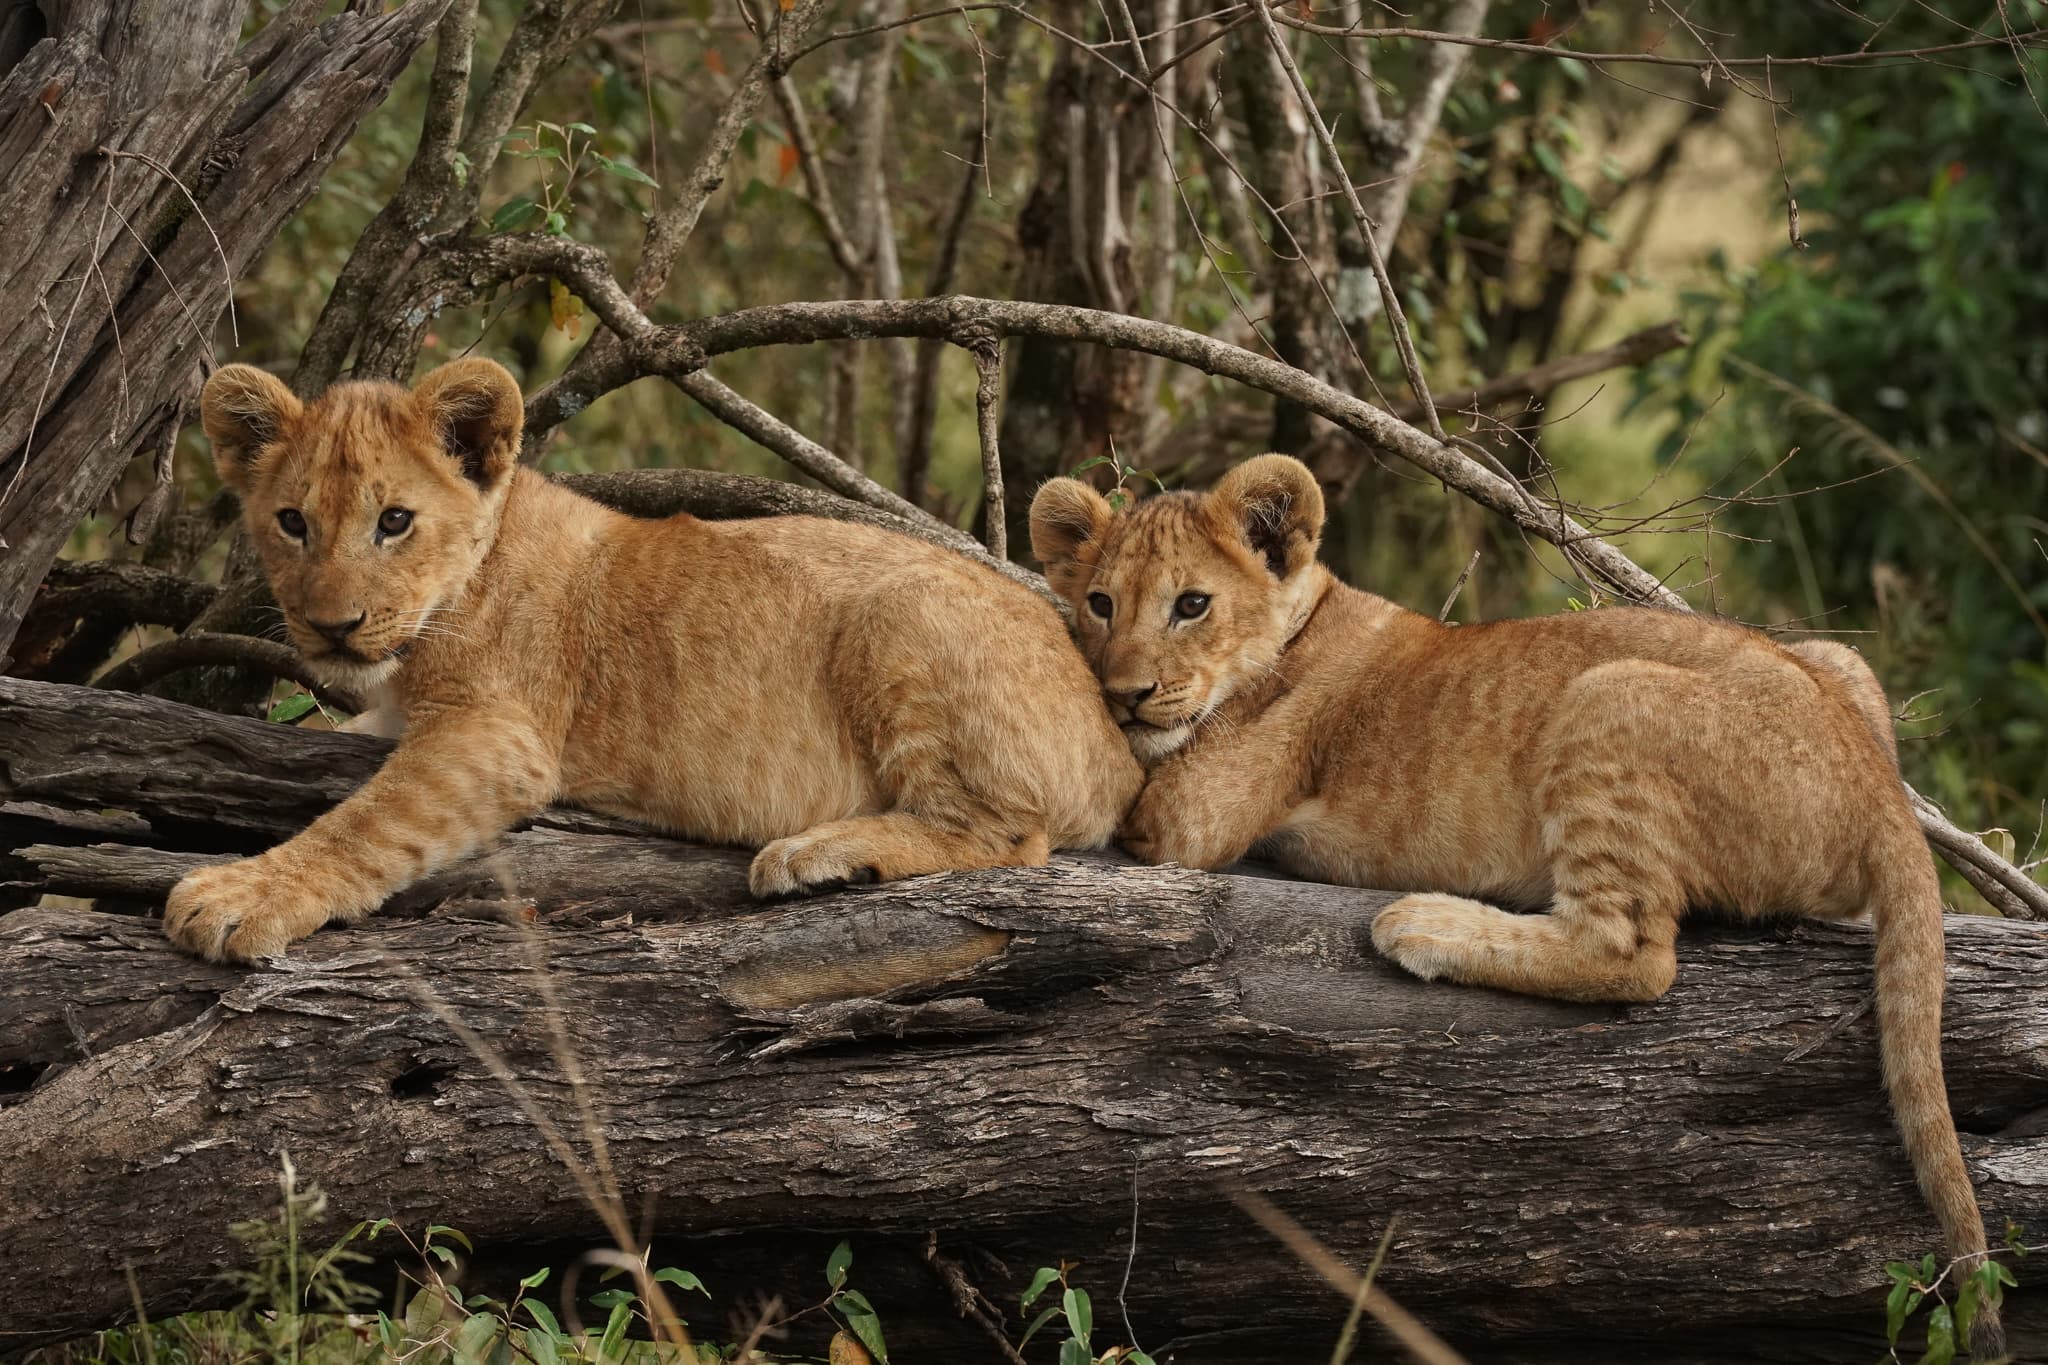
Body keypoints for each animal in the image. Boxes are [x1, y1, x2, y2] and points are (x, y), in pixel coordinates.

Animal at [164, 357, 1141, 963]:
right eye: (293, 522)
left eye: (394, 521)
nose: (332, 627)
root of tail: (1118, 744)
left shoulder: (502, 736)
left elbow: (364, 822)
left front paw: (241, 895)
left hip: (902, 610)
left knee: (1005, 835)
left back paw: (819, 851)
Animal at [1029, 453, 2000, 1355]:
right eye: (1103, 603)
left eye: (1192, 605)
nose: (1124, 695)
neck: (1304, 619)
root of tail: (1881, 795)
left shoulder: (1195, 812)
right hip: (1840, 660)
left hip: (1611, 694)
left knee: (1633, 954)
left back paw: (1424, 926)